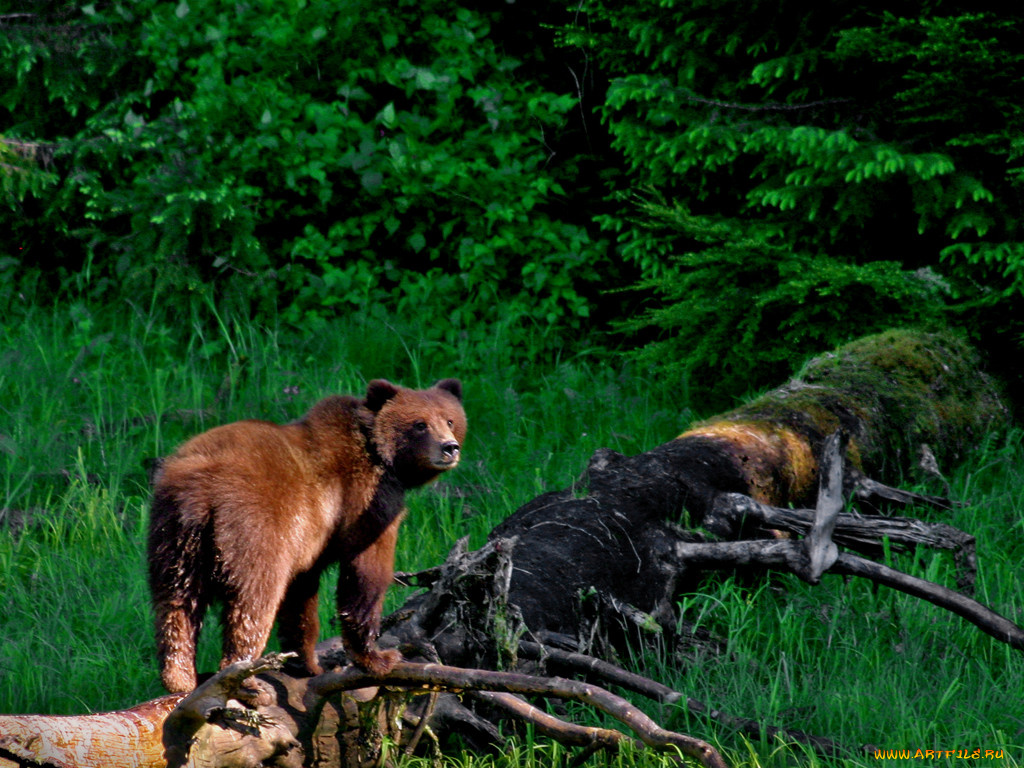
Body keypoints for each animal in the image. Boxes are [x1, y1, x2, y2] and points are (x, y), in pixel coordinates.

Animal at [146, 382, 466, 696]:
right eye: (420, 424)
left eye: (450, 419)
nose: (449, 447)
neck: (382, 458)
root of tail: (202, 492)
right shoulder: (365, 503)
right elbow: (364, 574)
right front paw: (377, 657)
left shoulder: (308, 539)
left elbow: (301, 598)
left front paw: (306, 662)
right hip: (252, 529)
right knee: (253, 601)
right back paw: (243, 679)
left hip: (173, 537)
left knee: (176, 604)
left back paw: (180, 678)